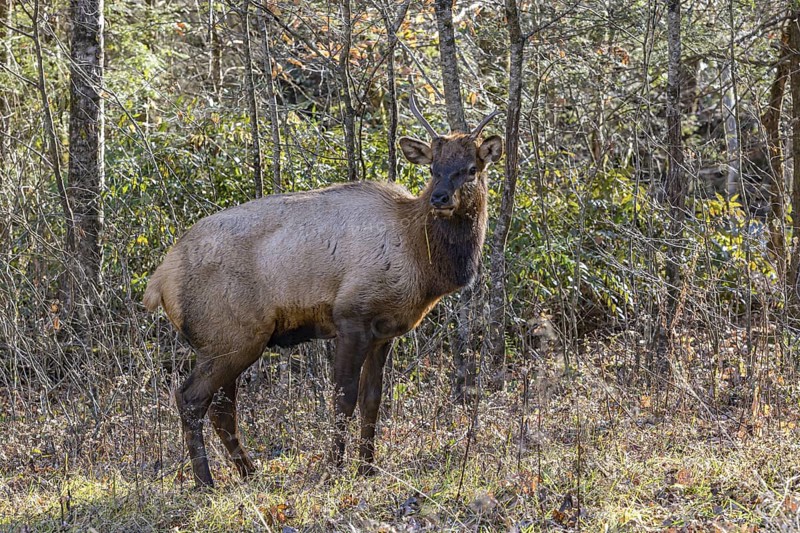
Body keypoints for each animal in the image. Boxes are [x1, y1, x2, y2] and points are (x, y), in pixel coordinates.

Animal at [143, 95, 503, 488]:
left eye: (471, 168)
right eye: (433, 168)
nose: (440, 198)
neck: (422, 261)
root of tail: (159, 281)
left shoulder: (385, 331)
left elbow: (372, 400)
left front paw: (367, 467)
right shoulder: (351, 318)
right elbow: (343, 398)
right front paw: (333, 468)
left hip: (225, 342)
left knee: (221, 408)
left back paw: (249, 472)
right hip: (231, 337)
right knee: (191, 399)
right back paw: (206, 482)